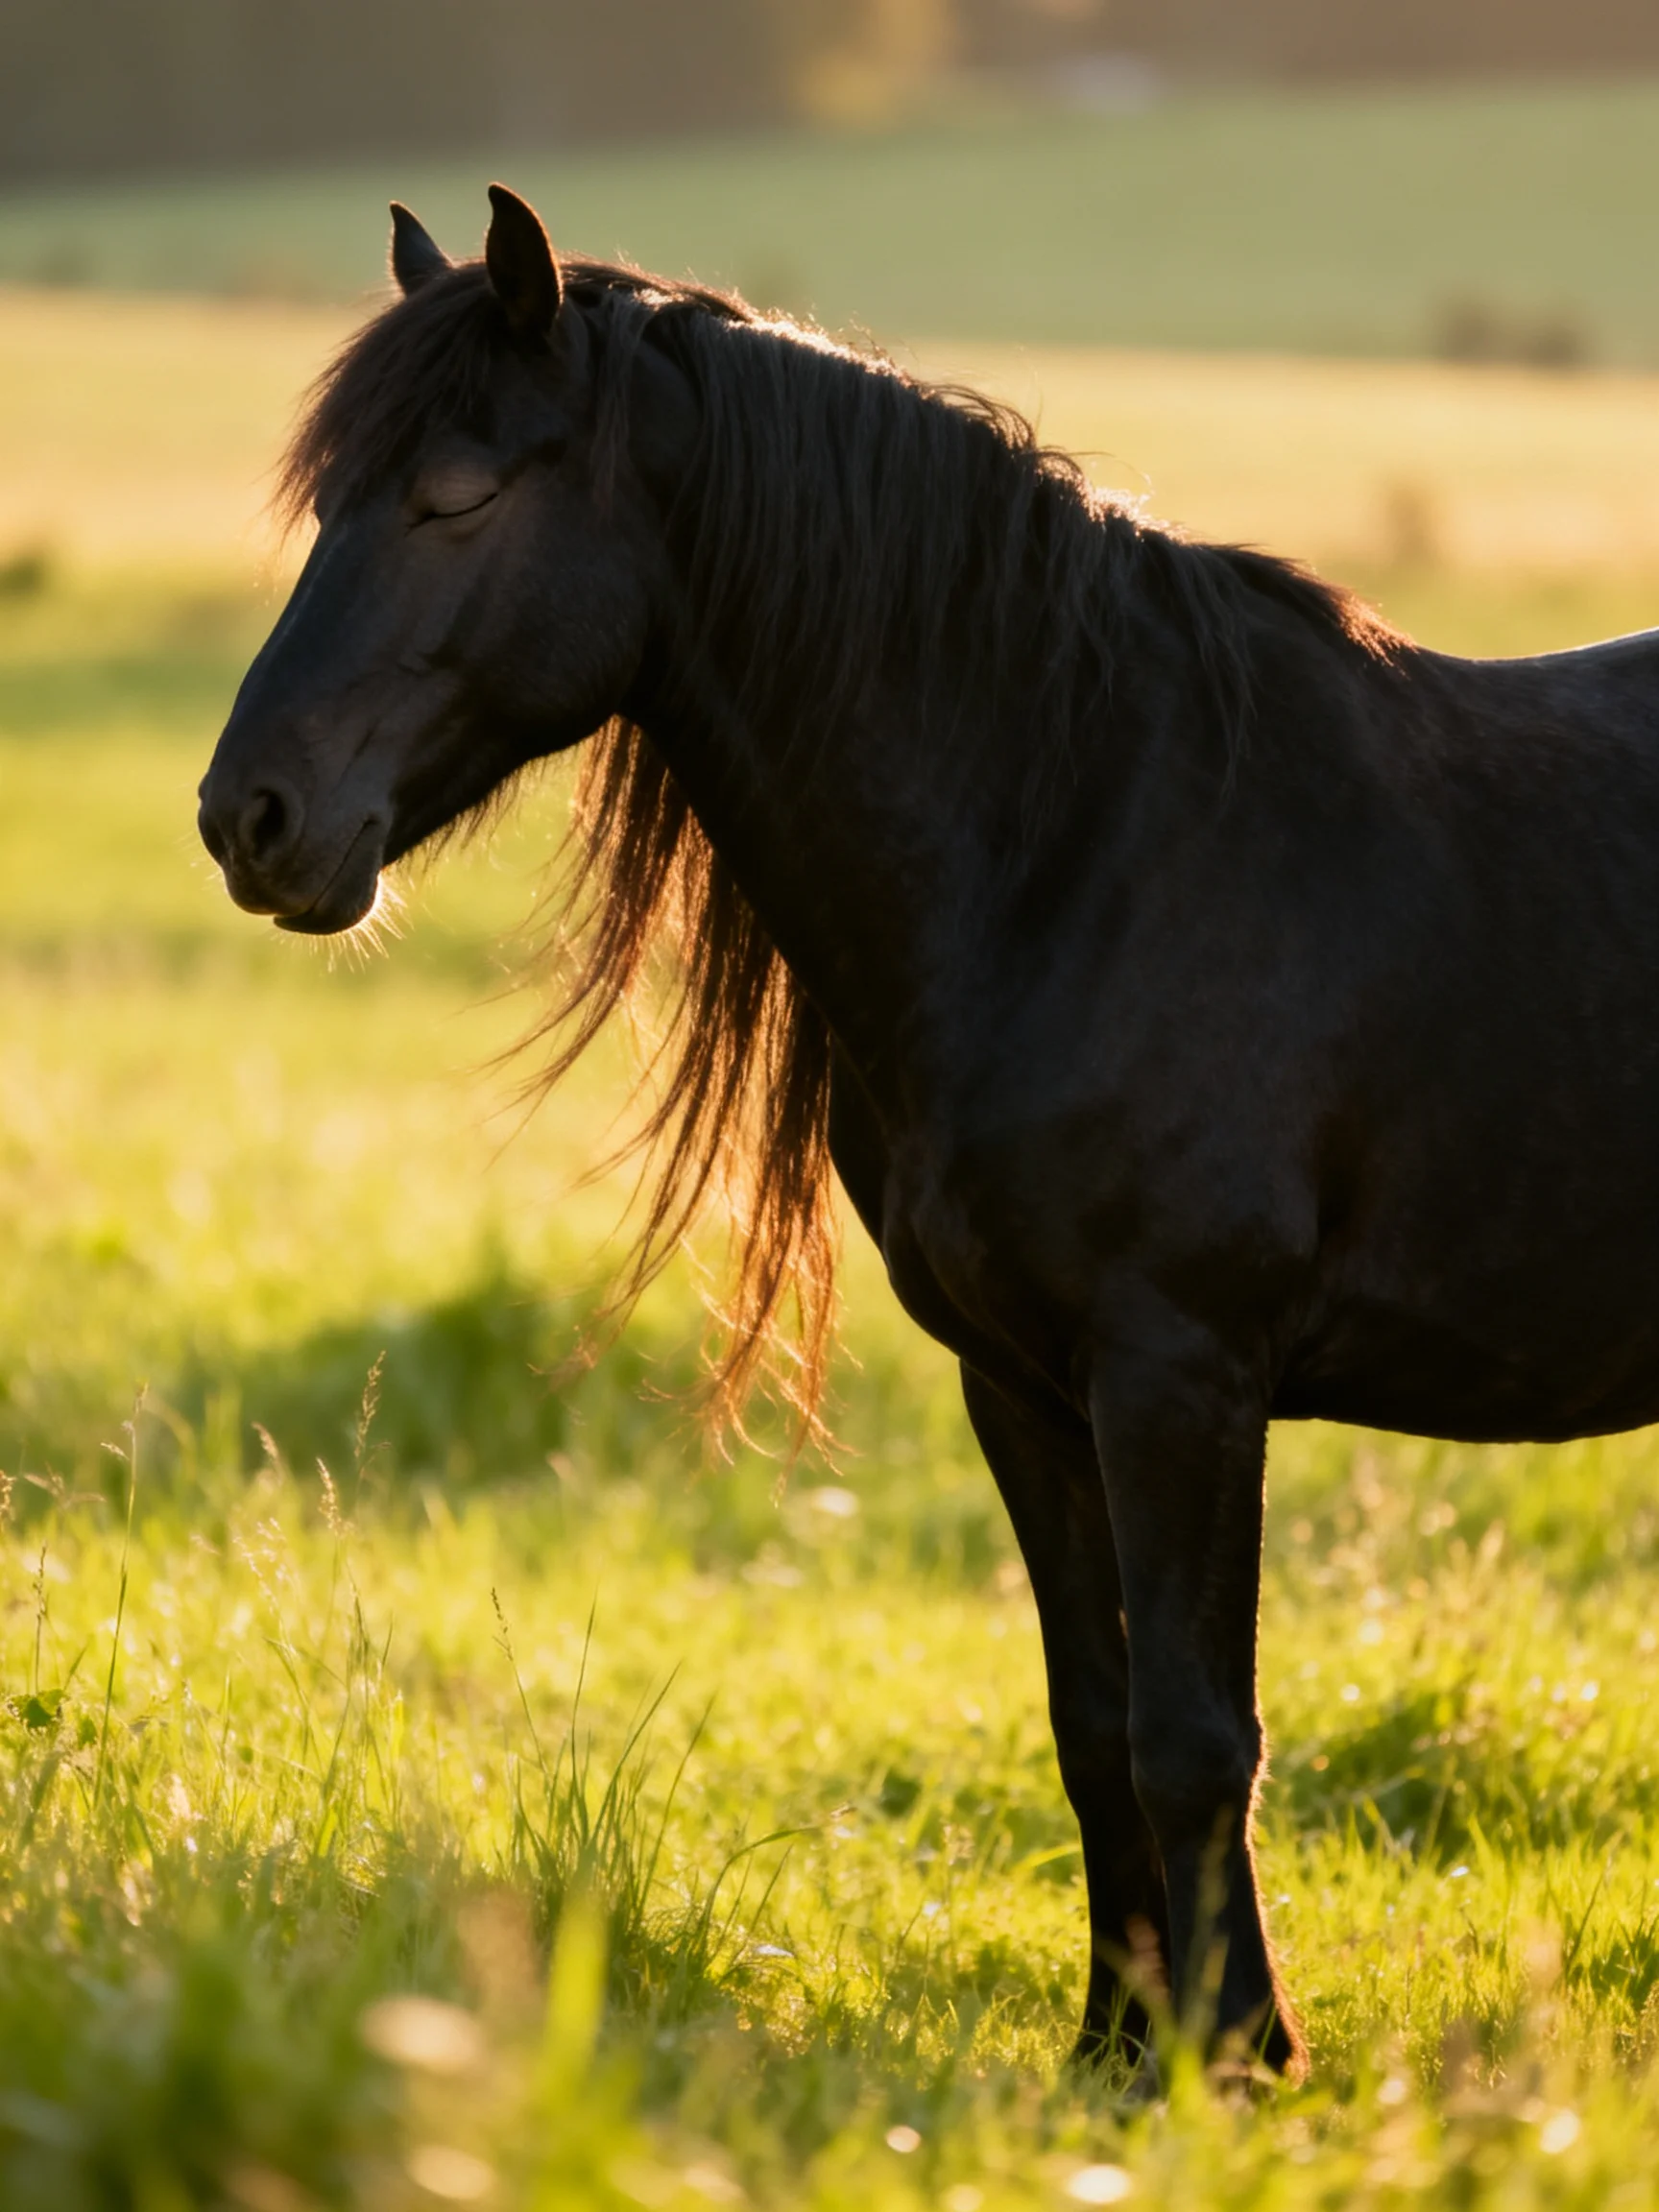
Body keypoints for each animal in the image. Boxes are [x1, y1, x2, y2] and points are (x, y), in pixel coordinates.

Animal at [198, 184, 1659, 2082]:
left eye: (454, 497)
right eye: (331, 502)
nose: (250, 817)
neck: (1081, 840)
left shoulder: (1179, 1371)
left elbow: (1197, 1730)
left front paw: (1234, 2060)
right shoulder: (1021, 1382)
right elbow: (1092, 1717)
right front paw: (1115, 2056)